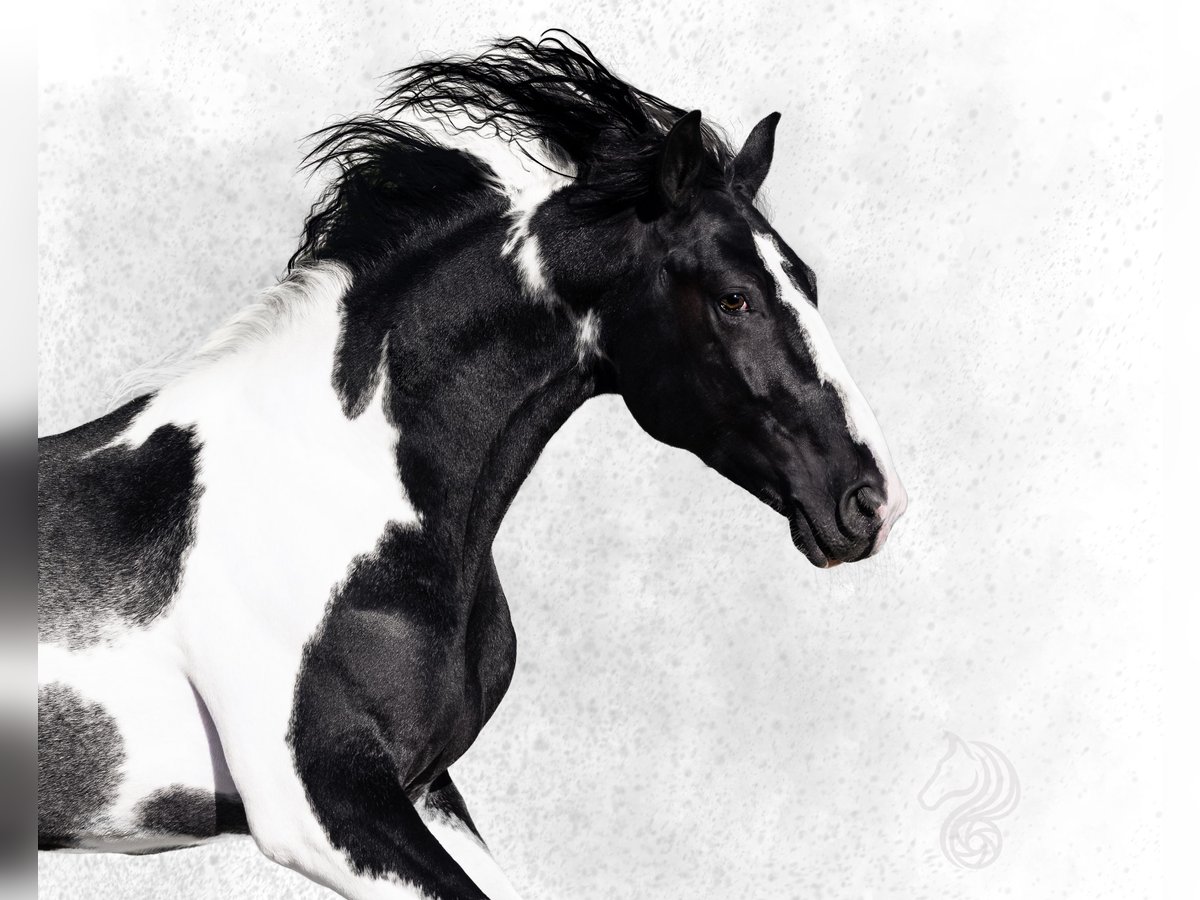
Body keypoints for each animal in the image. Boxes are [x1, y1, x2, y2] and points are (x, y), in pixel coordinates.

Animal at [38, 32, 907, 899]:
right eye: (734, 298)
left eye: (809, 282)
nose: (872, 503)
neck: (331, 488)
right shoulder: (320, 808)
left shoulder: (429, 785)